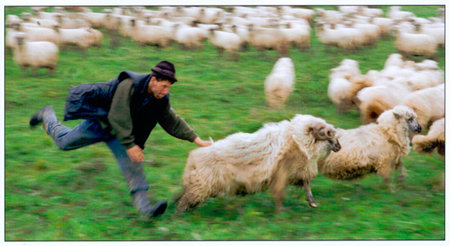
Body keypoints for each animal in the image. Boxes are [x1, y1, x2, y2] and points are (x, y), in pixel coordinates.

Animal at [176, 114, 342, 212]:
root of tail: (193, 156)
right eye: (328, 134)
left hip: (199, 184)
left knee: (184, 195)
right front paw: (280, 214)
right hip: (202, 184)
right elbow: (280, 194)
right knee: (184, 201)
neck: (297, 139)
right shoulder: (282, 173)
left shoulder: (297, 171)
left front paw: (311, 202)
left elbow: (306, 183)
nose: (339, 147)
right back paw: (180, 219)